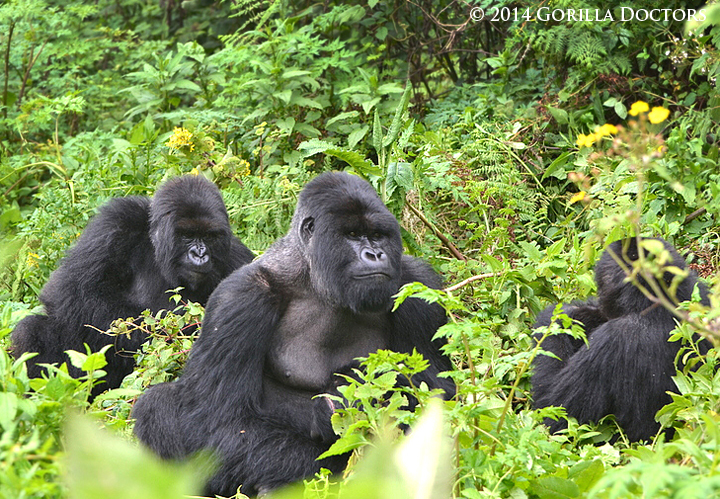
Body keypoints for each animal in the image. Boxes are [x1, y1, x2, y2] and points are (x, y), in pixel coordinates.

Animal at [11, 176, 255, 394]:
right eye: (188, 235)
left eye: (209, 236)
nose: (200, 254)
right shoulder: (116, 222)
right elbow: (73, 290)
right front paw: (174, 324)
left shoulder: (238, 259)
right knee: (34, 328)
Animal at [132, 171, 452, 496]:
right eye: (352, 234)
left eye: (377, 235)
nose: (375, 254)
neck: (316, 279)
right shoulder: (239, 298)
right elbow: (218, 421)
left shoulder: (418, 285)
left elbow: (440, 395)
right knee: (157, 403)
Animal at [532, 238, 712, 442]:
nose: (601, 302)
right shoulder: (700, 294)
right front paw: (584, 314)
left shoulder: (610, 340)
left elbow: (552, 410)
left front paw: (560, 316)